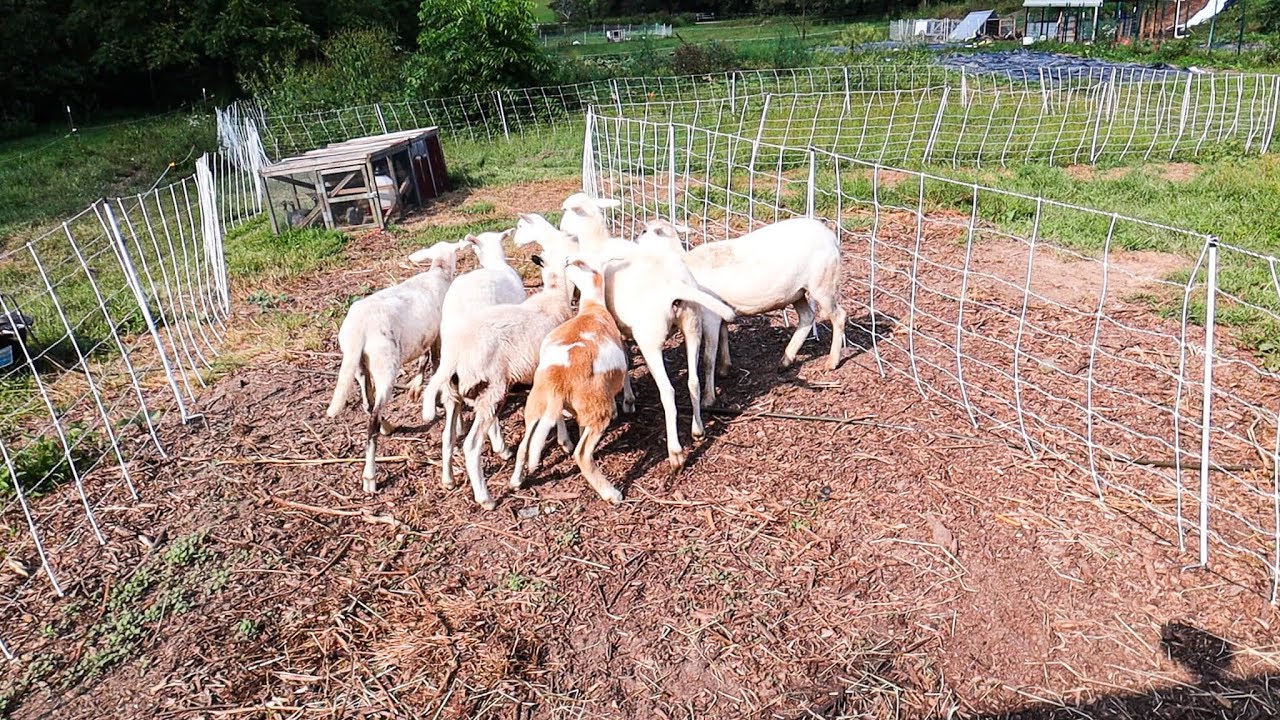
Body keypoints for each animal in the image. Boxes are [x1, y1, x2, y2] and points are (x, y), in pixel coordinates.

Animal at [325, 238, 470, 492]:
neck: (439, 271)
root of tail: (358, 330)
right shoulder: (437, 337)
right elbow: (432, 362)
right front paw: (431, 397)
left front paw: (417, 389)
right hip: (385, 364)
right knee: (372, 417)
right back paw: (370, 477)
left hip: (360, 366)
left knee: (368, 404)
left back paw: (387, 426)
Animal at [447, 256, 576, 509]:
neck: (554, 292)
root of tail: (459, 359)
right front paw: (566, 442)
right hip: (491, 391)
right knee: (472, 445)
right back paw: (485, 498)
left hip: (462, 394)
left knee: (447, 434)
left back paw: (448, 479)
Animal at [510, 257, 630, 504]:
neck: (592, 307)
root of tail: (559, 381)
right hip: (596, 411)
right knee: (582, 454)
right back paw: (611, 493)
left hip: (535, 406)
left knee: (524, 445)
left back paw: (516, 482)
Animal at [519, 205, 736, 469]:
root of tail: (676, 288)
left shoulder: (617, 327)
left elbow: (624, 361)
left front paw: (625, 402)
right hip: (692, 326)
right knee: (693, 381)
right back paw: (698, 429)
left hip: (651, 340)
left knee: (668, 391)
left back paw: (675, 453)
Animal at [636, 217, 848, 402]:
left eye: (644, 231)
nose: (636, 240)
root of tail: (831, 236)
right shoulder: (721, 310)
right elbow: (724, 336)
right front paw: (725, 368)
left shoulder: (710, 314)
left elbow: (708, 358)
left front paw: (708, 398)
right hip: (797, 292)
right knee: (807, 317)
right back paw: (785, 360)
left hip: (822, 284)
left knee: (839, 316)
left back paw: (832, 361)